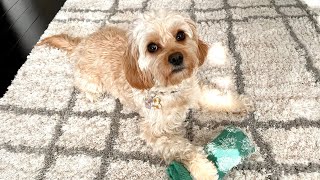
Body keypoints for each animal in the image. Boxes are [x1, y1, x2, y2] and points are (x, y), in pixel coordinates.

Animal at [38, 10, 252, 180]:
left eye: (180, 35)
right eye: (152, 47)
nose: (176, 57)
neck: (172, 90)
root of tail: (82, 41)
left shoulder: (195, 92)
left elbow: (217, 96)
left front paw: (240, 103)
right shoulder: (154, 132)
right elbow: (184, 148)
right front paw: (204, 169)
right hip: (92, 82)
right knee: (82, 84)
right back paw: (91, 95)